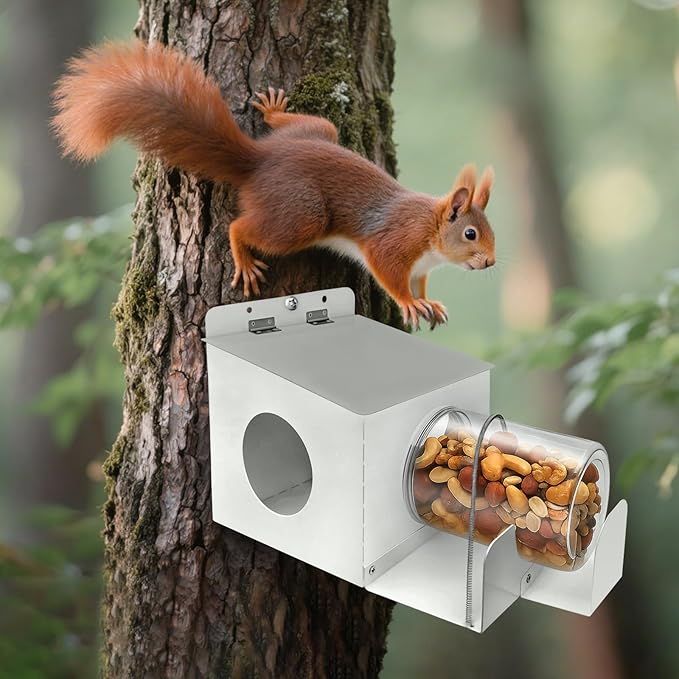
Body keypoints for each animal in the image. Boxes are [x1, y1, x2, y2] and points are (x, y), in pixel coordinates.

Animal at [52, 41, 496, 328]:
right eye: (470, 233)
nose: (491, 263)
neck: (430, 234)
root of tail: (260, 161)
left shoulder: (421, 267)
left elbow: (420, 285)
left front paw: (428, 303)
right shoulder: (393, 243)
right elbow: (389, 273)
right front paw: (408, 303)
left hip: (320, 131)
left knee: (313, 125)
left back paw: (272, 110)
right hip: (302, 216)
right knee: (239, 226)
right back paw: (245, 260)